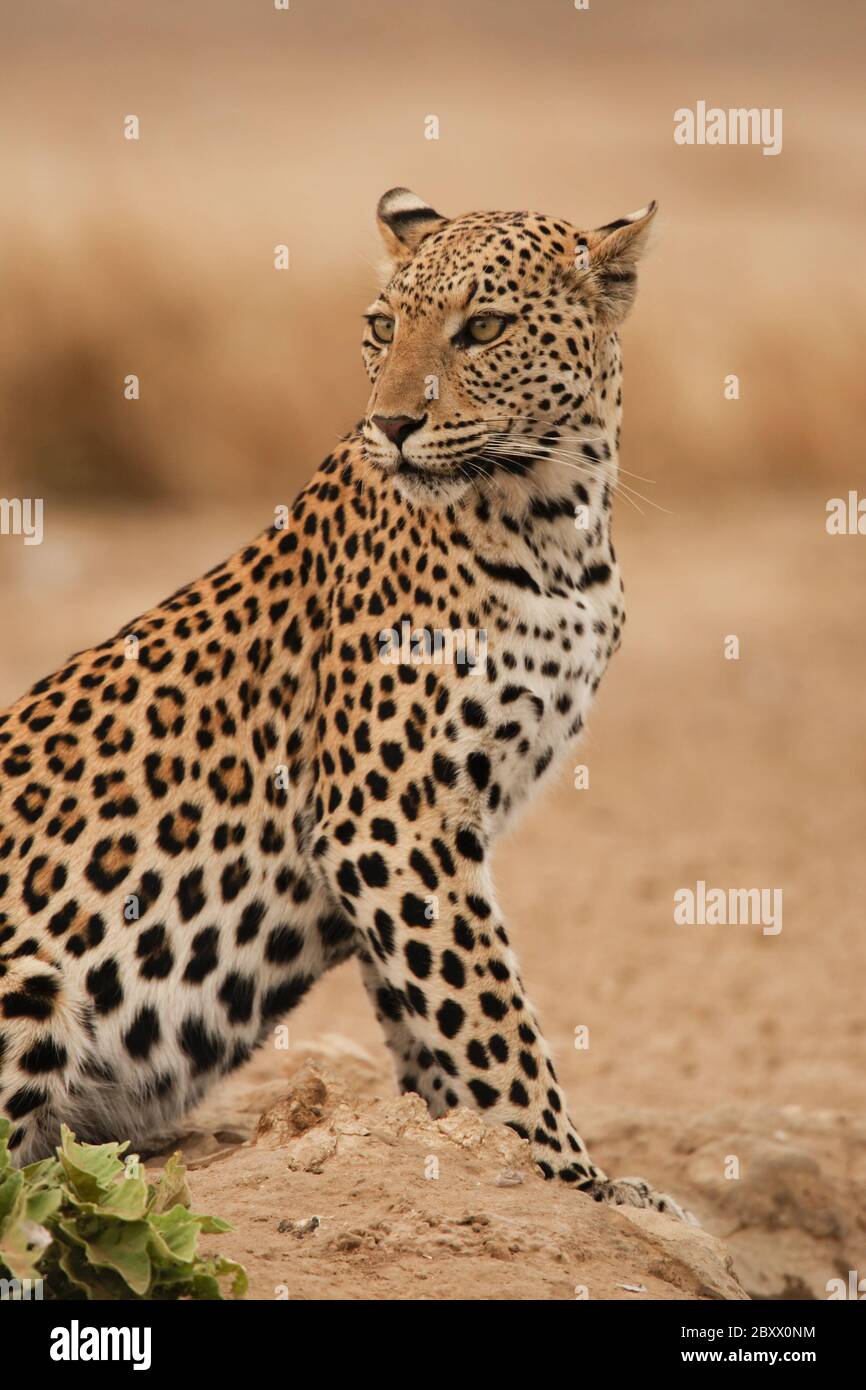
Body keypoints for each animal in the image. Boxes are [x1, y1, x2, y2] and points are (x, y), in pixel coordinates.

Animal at [0, 187, 692, 1217]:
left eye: (483, 329)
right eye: (381, 328)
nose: (394, 424)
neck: (556, 525)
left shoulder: (411, 838)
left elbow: (438, 1019)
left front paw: (465, 1150)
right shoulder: (392, 820)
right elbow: (493, 1018)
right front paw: (577, 1179)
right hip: (33, 981)